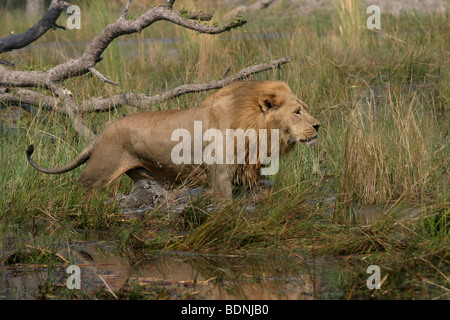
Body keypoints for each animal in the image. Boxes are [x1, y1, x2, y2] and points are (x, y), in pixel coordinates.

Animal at [26, 81, 320, 204]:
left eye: (305, 109)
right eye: (297, 112)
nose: (318, 125)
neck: (257, 130)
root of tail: (101, 134)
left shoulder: (247, 171)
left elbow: (263, 190)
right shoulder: (219, 174)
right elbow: (224, 203)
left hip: (143, 175)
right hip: (98, 172)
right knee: (81, 190)